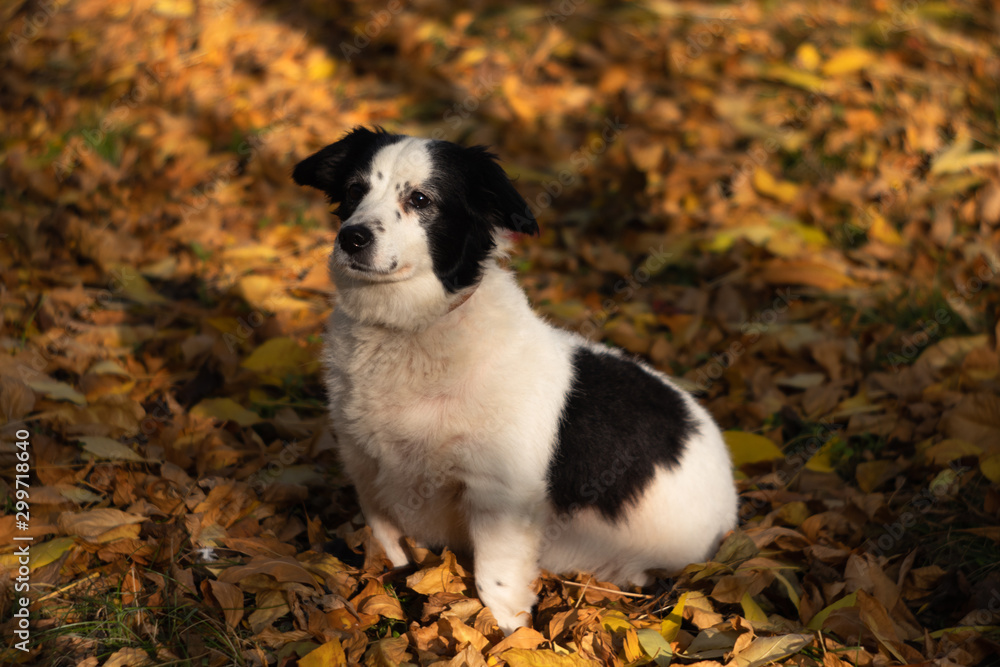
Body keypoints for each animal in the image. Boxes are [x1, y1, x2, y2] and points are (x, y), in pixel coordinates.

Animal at [292, 128, 740, 636]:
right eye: (353, 190)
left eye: (421, 199)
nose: (351, 237)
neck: (408, 331)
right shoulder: (370, 475)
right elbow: (395, 553)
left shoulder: (497, 495)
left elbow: (495, 582)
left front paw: (511, 636)